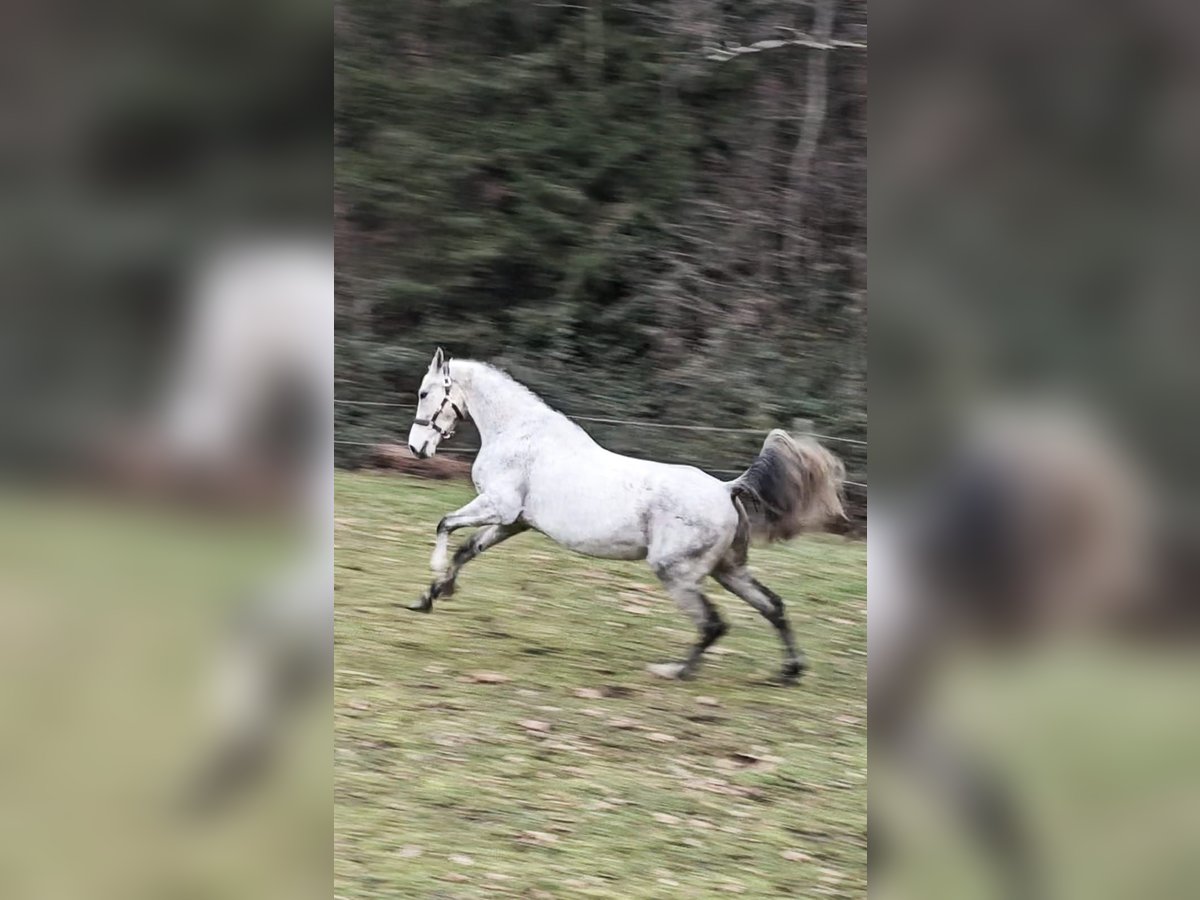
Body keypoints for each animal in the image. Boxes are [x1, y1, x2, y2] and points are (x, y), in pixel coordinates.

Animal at [403, 348, 844, 681]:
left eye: (424, 393)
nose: (416, 449)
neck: (519, 434)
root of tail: (726, 488)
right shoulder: (514, 522)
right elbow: (466, 550)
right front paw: (430, 597)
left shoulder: (499, 506)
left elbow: (444, 524)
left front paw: (433, 576)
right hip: (728, 570)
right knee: (772, 606)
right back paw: (789, 671)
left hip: (675, 572)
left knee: (713, 623)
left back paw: (675, 671)